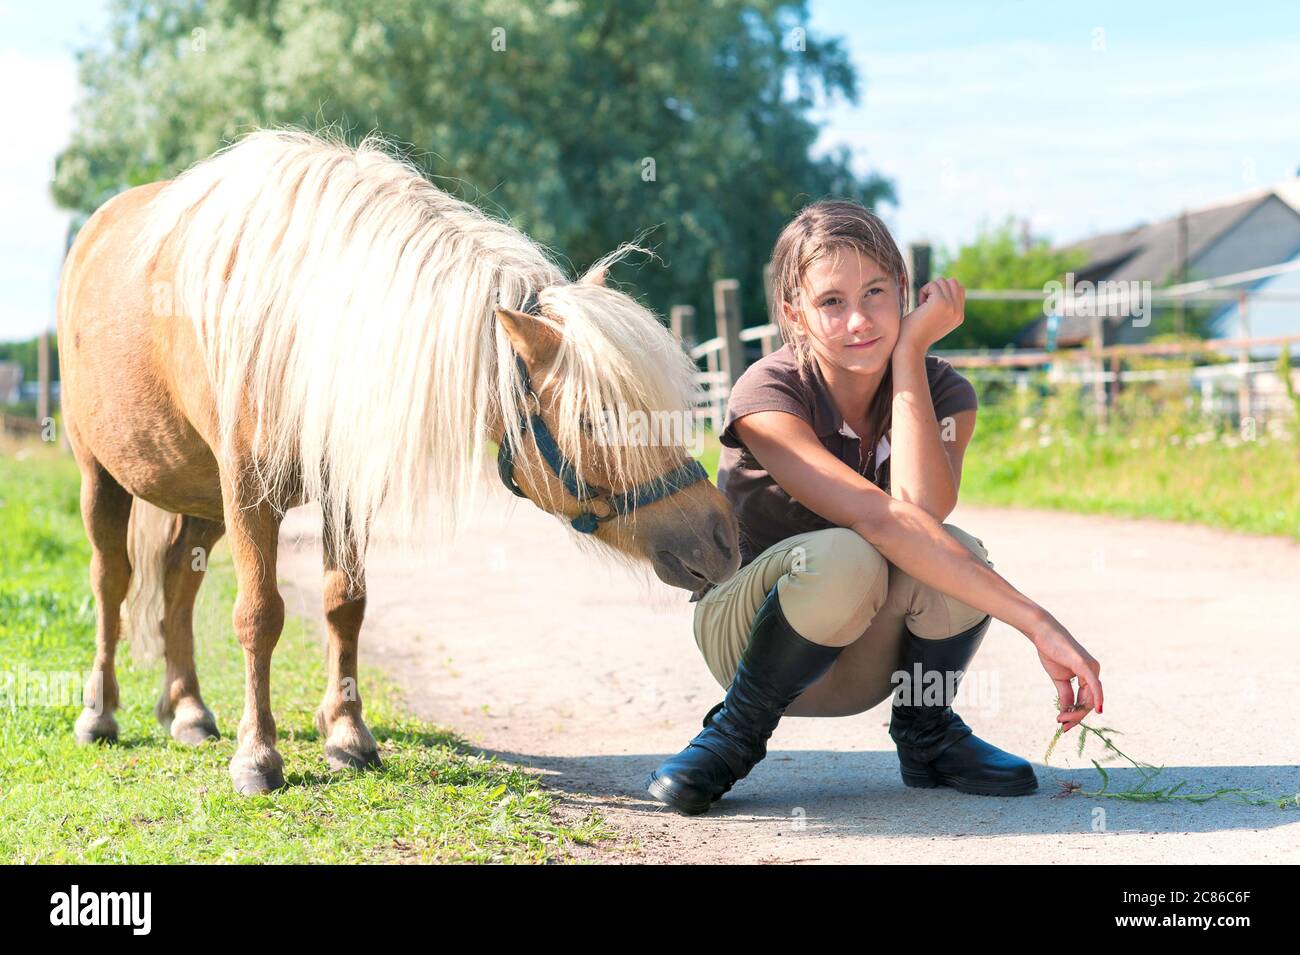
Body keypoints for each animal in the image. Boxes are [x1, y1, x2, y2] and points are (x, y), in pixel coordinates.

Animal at [58, 130, 743, 795]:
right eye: (593, 420)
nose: (721, 535)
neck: (297, 323)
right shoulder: (248, 490)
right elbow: (258, 614)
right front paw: (258, 756)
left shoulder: (339, 487)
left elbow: (345, 603)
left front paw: (346, 734)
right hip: (103, 477)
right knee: (111, 579)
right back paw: (101, 713)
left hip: (203, 501)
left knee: (178, 578)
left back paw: (189, 710)